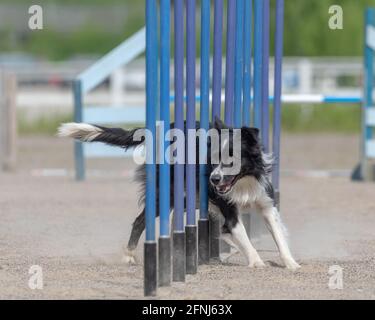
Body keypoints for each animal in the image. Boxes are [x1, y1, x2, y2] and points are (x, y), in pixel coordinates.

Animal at [57, 119, 302, 268]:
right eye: (213, 158)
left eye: (232, 159)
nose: (214, 179)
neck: (243, 181)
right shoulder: (228, 209)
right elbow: (241, 233)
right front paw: (257, 261)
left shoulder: (265, 202)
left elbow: (277, 234)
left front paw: (290, 263)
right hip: (168, 193)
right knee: (140, 221)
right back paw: (129, 255)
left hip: (188, 197)